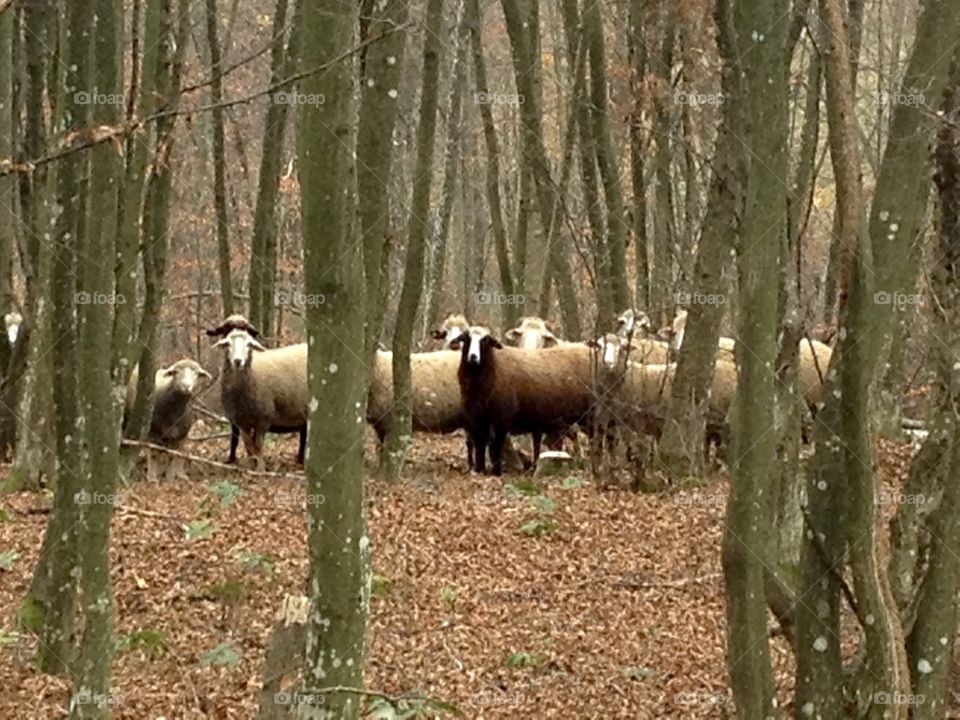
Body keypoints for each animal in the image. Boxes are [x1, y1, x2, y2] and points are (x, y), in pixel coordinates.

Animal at [213, 328, 308, 465]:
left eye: (249, 344)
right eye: (228, 344)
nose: (237, 361)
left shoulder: (264, 418)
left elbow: (258, 447)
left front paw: (260, 467)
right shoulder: (241, 421)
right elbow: (249, 447)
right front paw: (251, 464)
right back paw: (300, 460)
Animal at [456, 326, 595, 475]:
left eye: (485, 339)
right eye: (466, 337)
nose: (473, 357)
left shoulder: (501, 420)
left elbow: (495, 447)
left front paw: (496, 472)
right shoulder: (476, 419)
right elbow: (479, 446)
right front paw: (479, 470)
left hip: (590, 414)